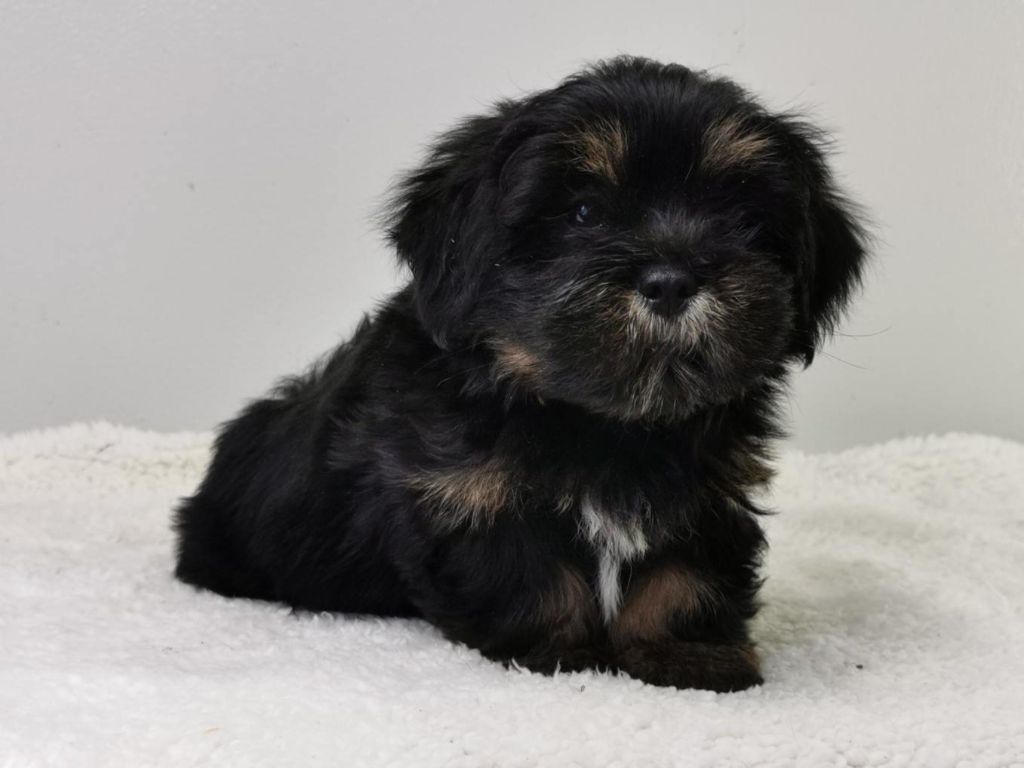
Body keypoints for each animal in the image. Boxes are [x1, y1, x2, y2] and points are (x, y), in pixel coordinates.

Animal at [174, 56, 867, 692]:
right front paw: (561, 651)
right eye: (583, 213)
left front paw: (687, 655)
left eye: (741, 220)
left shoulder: (707, 492)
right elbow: (528, 572)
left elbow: (684, 573)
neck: (609, 423)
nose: (672, 280)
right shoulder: (463, 490)